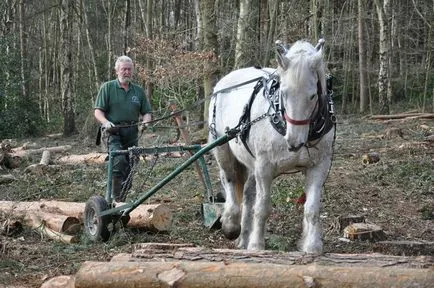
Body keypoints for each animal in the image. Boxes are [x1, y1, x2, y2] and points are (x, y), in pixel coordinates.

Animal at [209, 38, 334, 254]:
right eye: (283, 92)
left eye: (312, 96)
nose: (294, 142)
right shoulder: (264, 167)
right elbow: (262, 208)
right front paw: (257, 245)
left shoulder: (319, 166)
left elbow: (311, 208)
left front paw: (311, 245)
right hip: (222, 149)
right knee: (230, 181)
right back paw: (231, 224)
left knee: (248, 194)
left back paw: (243, 238)